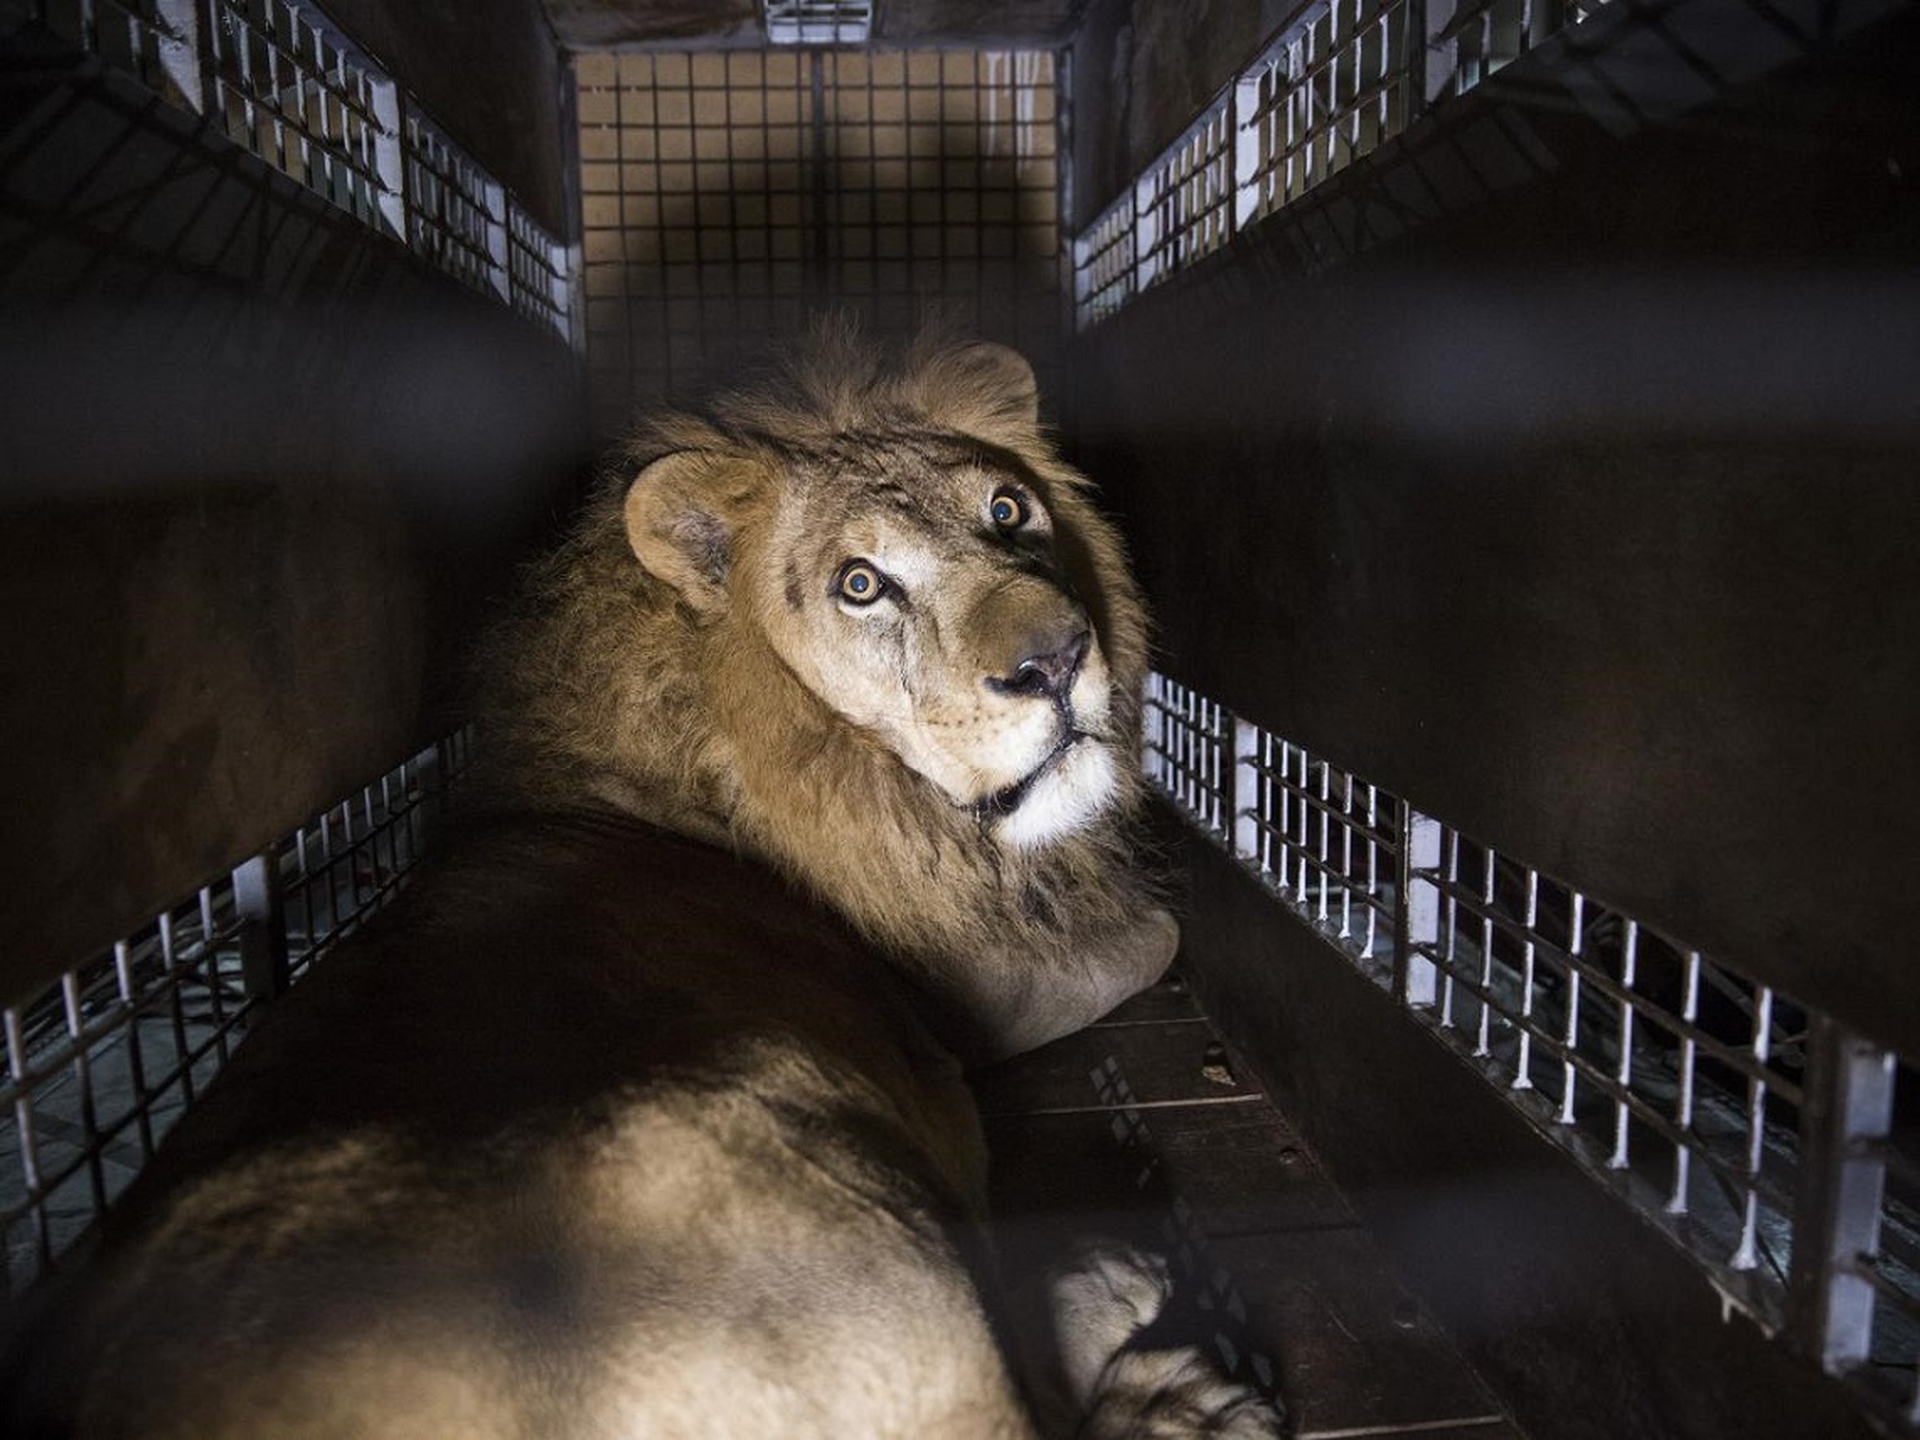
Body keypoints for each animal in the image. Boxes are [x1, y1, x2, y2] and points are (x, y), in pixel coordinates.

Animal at [1, 333, 1281, 1439]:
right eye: (862, 585)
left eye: (1008, 512)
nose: (1055, 663)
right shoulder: (958, 1006)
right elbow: (1153, 937)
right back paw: (1159, 1353)